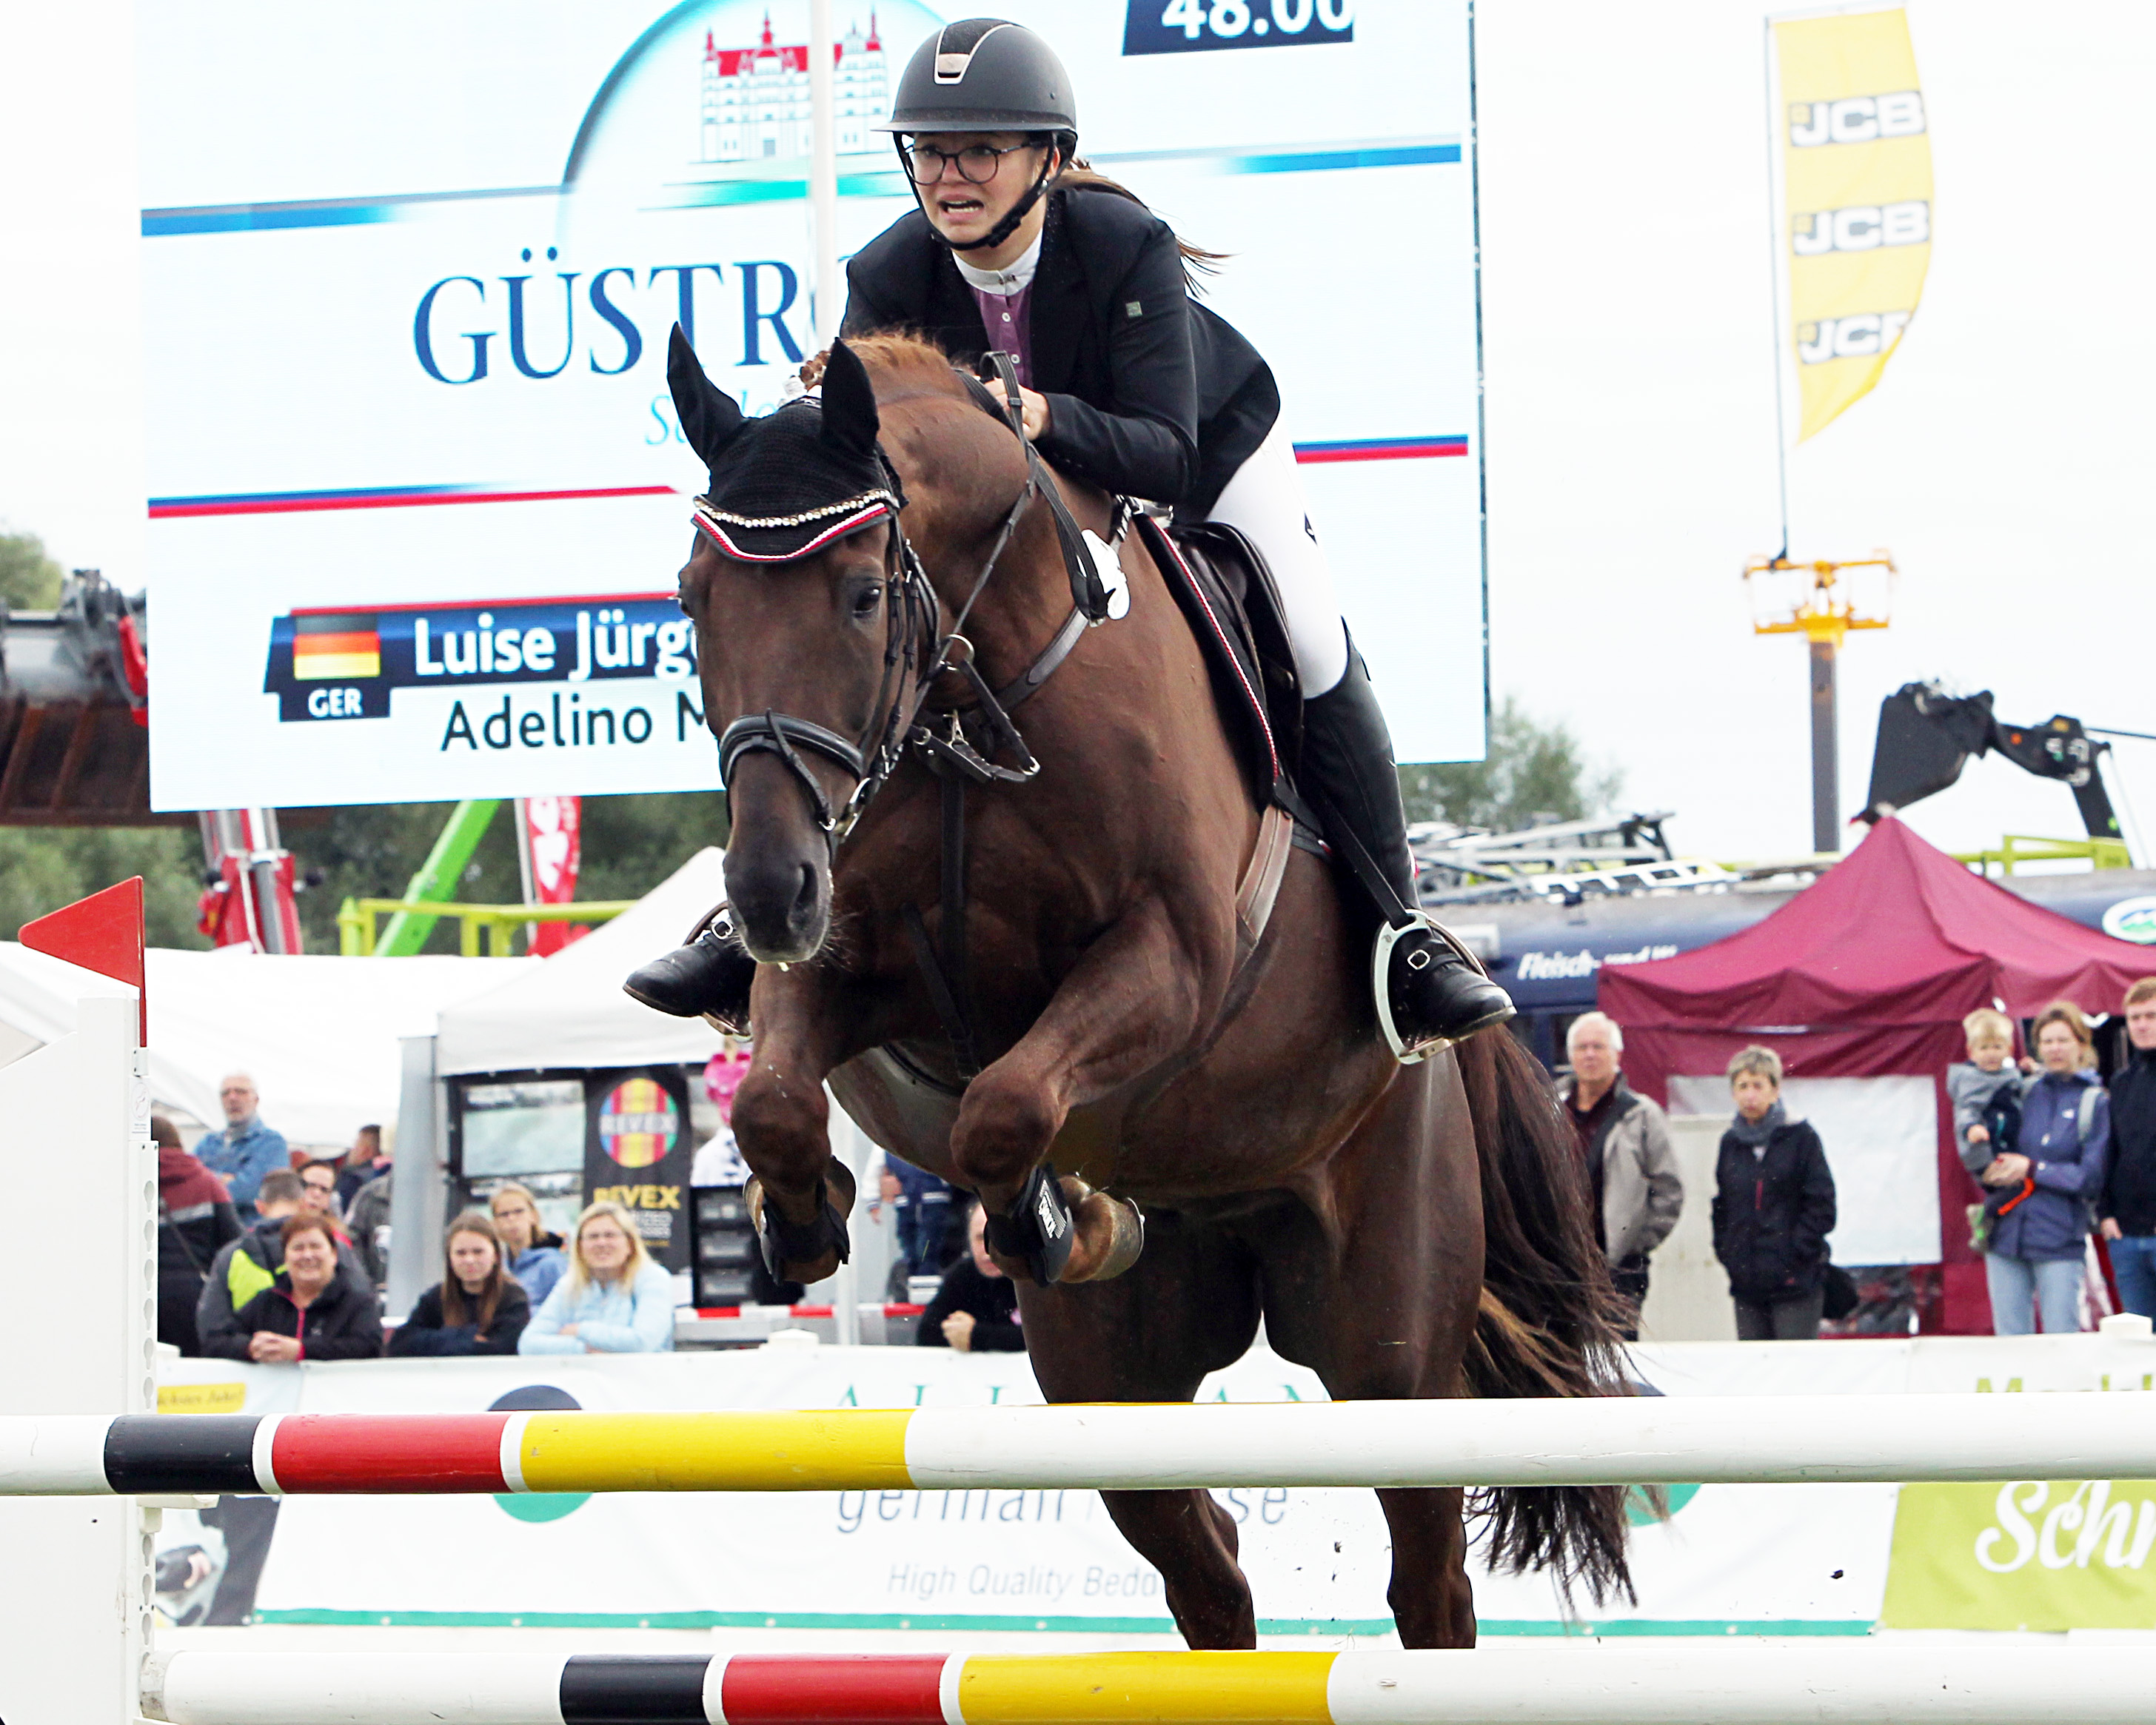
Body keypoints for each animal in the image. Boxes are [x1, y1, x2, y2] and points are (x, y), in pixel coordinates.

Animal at [663, 334, 1621, 1647]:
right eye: (691, 600)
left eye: (861, 596)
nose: (764, 891)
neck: (972, 696)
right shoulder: (847, 965)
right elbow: (775, 1100)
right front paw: (803, 1217)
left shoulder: (1173, 957)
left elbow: (1008, 1103)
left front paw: (1038, 1215)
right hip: (1115, 1382)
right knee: (1204, 1564)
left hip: (1389, 1341)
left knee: (1428, 1574)